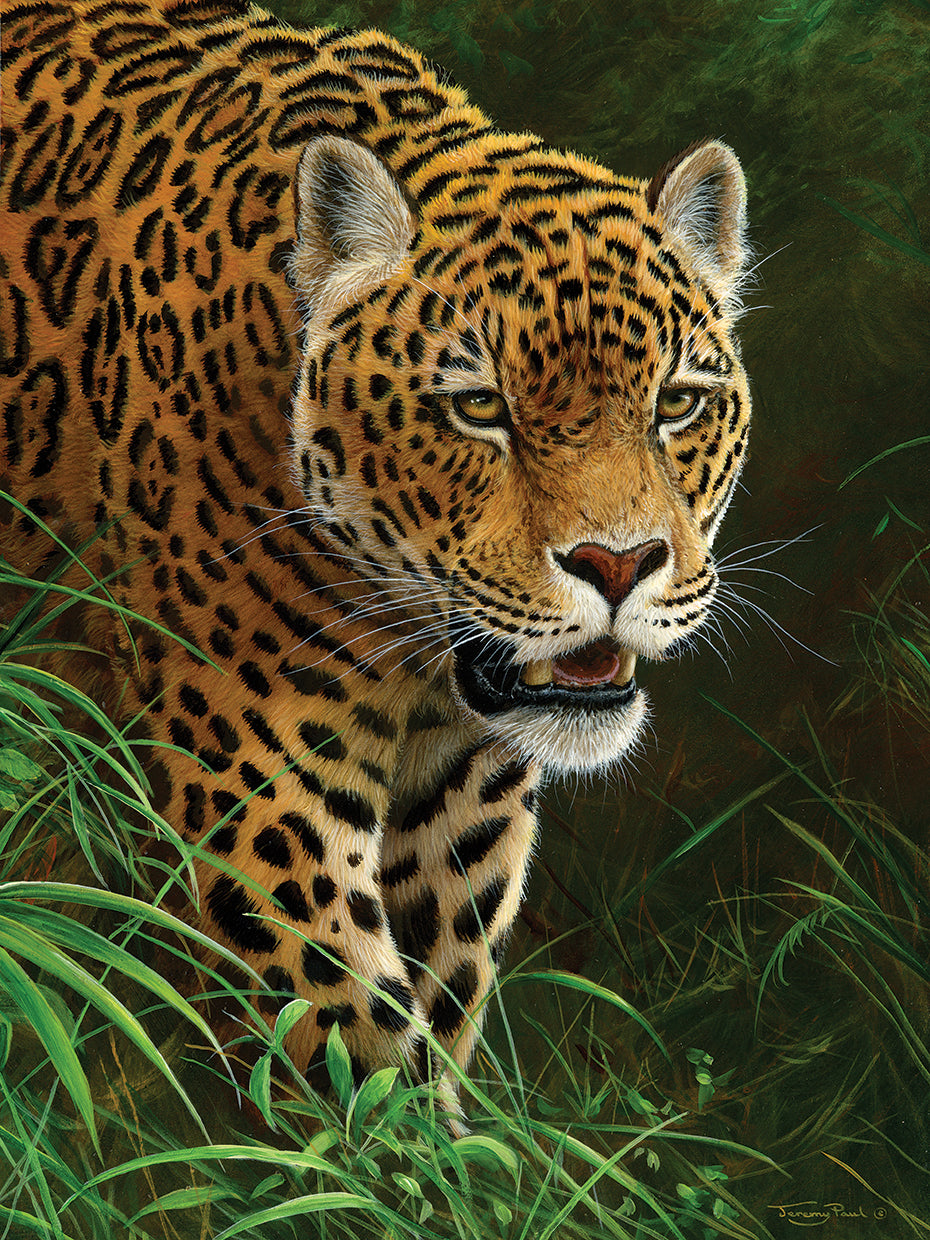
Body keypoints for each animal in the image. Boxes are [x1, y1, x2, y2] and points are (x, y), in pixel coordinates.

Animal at [0, 0, 752, 1100]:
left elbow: (437, 997)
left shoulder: (467, 799)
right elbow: (346, 1042)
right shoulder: (254, 775)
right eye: (478, 408)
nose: (618, 566)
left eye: (679, 404)